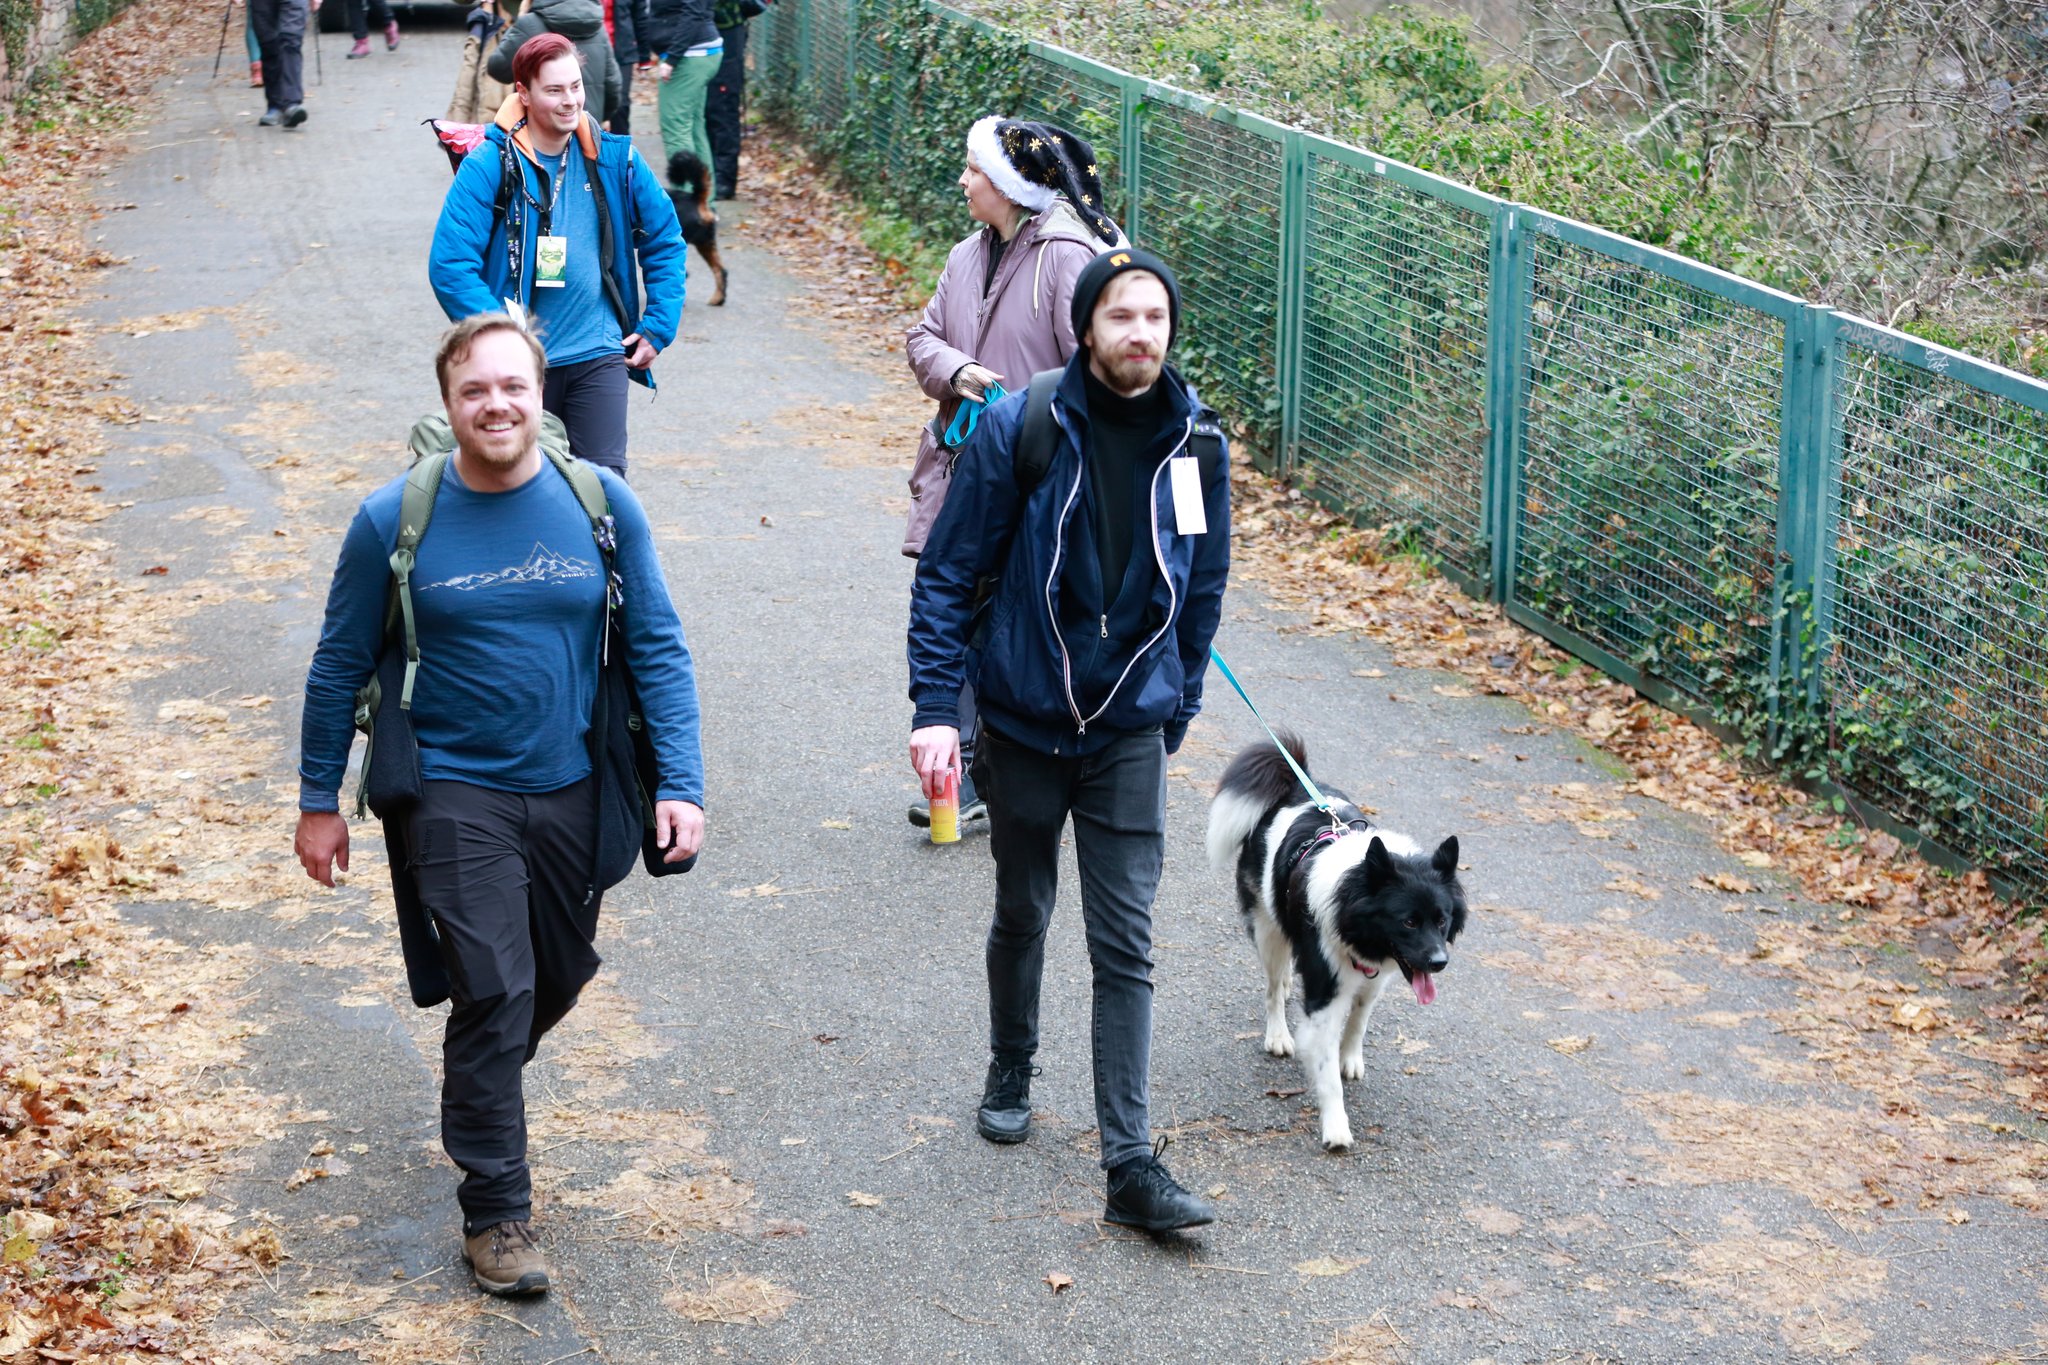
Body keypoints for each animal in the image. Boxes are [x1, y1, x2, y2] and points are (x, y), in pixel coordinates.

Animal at [1207, 727, 1466, 1151]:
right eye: (1408, 922)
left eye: (1442, 920)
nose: (1438, 963)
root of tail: (1298, 784)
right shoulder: (1324, 992)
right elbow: (1326, 1072)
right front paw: (1336, 1126)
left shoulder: (1374, 978)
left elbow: (1358, 1021)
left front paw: (1350, 1059)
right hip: (1267, 927)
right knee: (1273, 986)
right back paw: (1278, 1034)